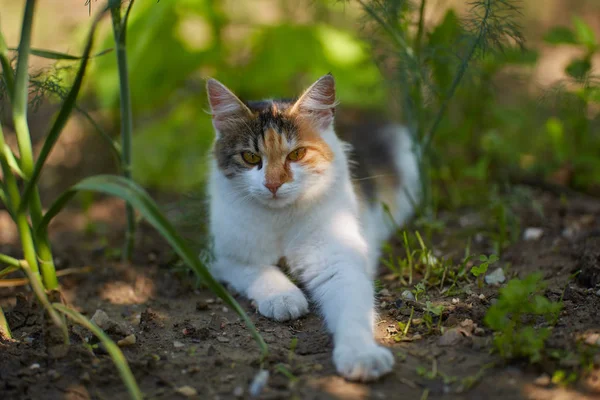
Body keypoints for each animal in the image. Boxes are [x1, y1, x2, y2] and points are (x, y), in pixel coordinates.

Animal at [204, 74, 420, 382]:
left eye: (297, 154)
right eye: (250, 158)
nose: (273, 184)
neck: (279, 218)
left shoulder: (339, 260)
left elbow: (353, 311)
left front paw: (361, 356)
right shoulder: (222, 256)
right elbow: (259, 271)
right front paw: (284, 297)